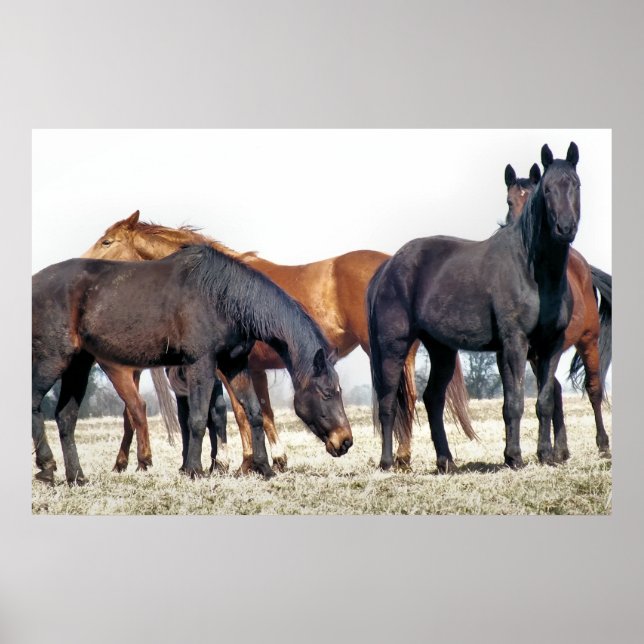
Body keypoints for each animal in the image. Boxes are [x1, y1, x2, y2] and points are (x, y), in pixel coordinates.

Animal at [32, 245, 353, 484]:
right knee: (36, 404)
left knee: (65, 418)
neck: (222, 296)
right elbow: (198, 419)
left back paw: (76, 477)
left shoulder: (234, 364)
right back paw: (46, 467)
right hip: (52, 360)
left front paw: (264, 468)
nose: (345, 442)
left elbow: (253, 412)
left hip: (78, 366)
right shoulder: (201, 364)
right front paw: (194, 470)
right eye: (327, 393)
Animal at [82, 214, 475, 473]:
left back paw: (401, 458)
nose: (83, 265)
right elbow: (260, 412)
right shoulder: (251, 368)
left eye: (107, 241)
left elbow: (238, 413)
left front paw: (244, 463)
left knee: (403, 398)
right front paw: (272, 460)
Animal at [368, 142, 583, 472]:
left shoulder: (551, 346)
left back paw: (446, 461)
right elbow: (515, 402)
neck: (532, 269)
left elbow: (544, 401)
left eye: (575, 185)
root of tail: (389, 266)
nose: (565, 228)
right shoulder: (515, 344)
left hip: (441, 350)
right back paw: (387, 462)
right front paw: (515, 457)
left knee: (433, 398)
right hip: (394, 346)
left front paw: (544, 455)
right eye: (547, 189)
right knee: (389, 402)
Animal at [504, 162, 611, 457]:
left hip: (588, 341)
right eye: (509, 201)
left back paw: (603, 444)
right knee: (556, 390)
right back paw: (560, 450)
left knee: (593, 388)